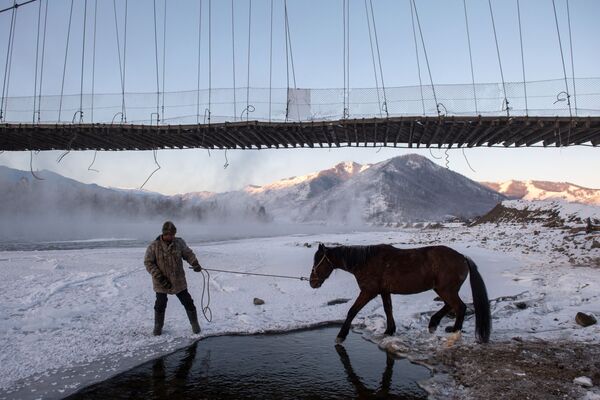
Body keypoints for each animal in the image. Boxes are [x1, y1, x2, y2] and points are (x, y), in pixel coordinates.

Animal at [310, 244, 492, 344]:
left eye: (318, 261)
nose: (312, 282)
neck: (365, 262)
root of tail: (462, 257)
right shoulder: (384, 291)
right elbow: (387, 309)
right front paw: (389, 330)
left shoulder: (369, 292)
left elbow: (352, 311)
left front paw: (341, 335)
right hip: (444, 289)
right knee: (451, 305)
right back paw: (434, 323)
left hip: (446, 290)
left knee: (459, 307)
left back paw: (453, 330)